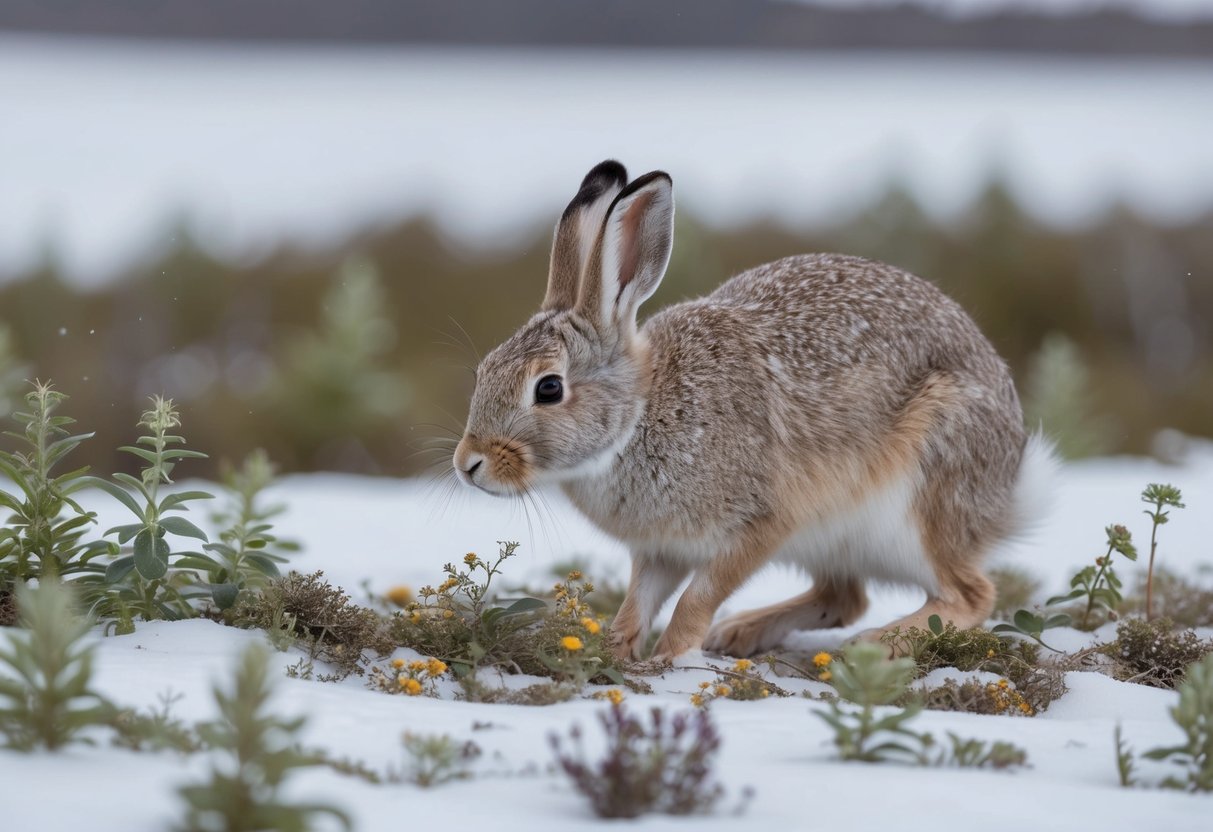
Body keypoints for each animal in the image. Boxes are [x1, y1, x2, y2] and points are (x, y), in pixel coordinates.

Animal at [453, 159, 1054, 663]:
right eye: (484, 370)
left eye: (549, 388)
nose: (468, 464)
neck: (641, 413)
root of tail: (1008, 484)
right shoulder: (660, 549)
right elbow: (638, 599)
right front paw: (615, 651)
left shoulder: (762, 524)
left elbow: (697, 597)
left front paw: (669, 658)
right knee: (845, 595)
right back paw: (742, 631)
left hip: (921, 500)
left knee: (969, 595)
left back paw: (872, 645)